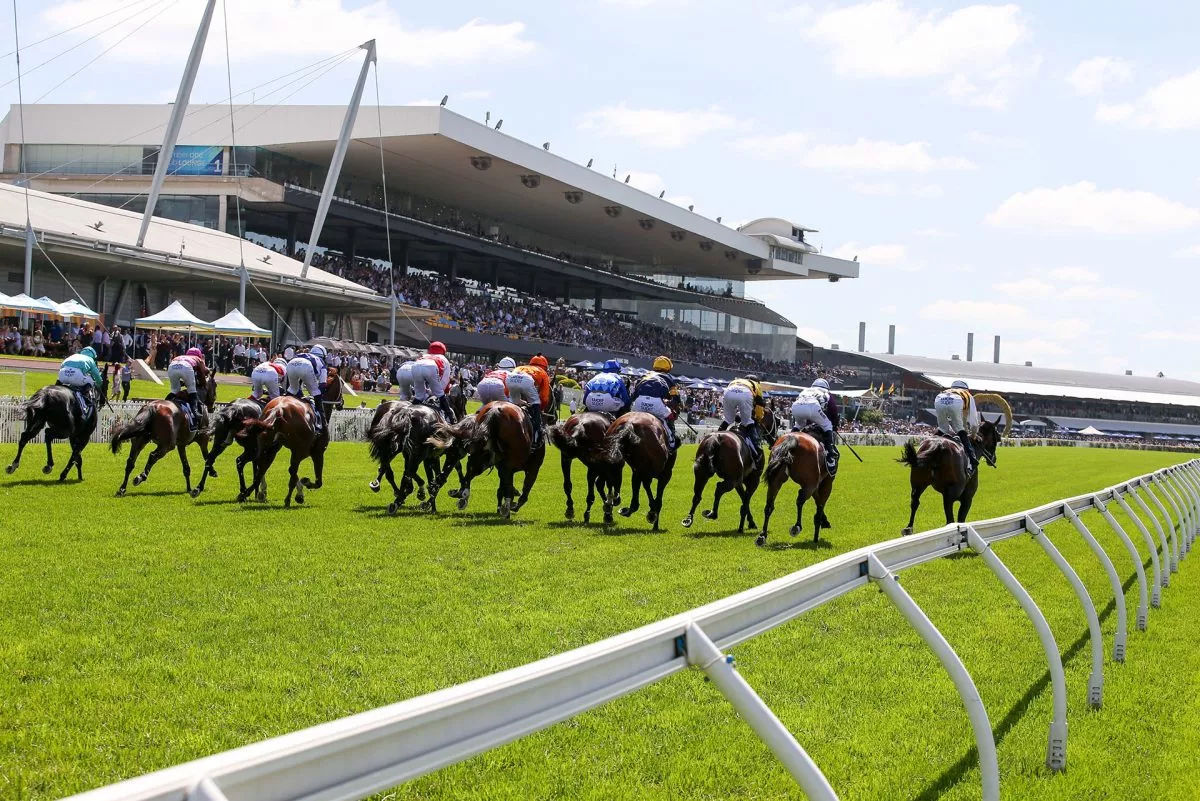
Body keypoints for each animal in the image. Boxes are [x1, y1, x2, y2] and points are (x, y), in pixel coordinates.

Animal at [237, 374, 343, 506]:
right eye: (342, 385)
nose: (341, 403)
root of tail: (278, 409)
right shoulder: (317, 452)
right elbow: (317, 482)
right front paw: (303, 487)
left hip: (265, 446)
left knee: (257, 467)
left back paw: (246, 493)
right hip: (300, 450)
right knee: (288, 470)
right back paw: (286, 499)